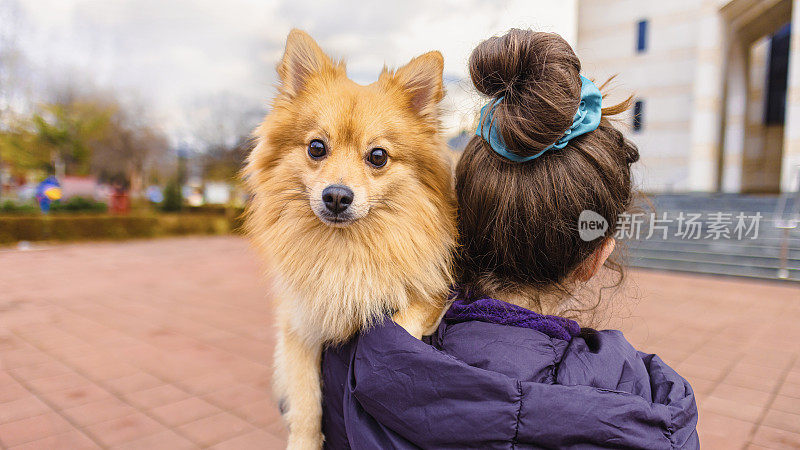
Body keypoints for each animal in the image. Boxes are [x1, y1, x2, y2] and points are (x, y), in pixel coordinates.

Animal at [244, 29, 456, 448]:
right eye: (316, 148)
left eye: (377, 156)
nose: (337, 196)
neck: (346, 250)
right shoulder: (300, 326)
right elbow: (306, 401)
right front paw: (303, 441)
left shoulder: (434, 292)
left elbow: (401, 327)